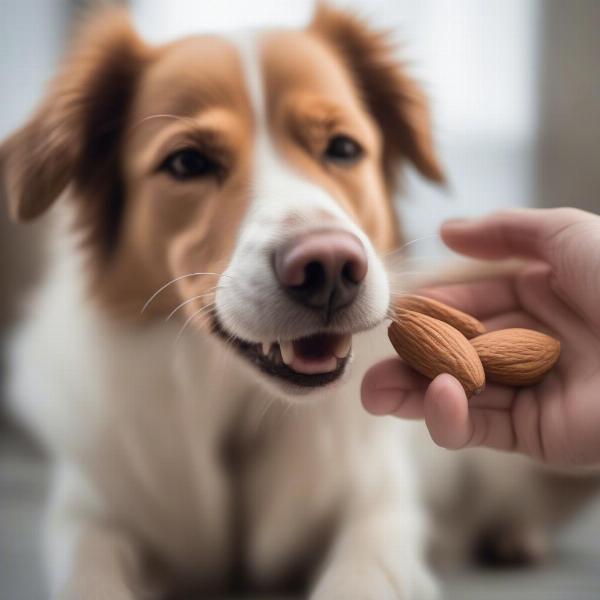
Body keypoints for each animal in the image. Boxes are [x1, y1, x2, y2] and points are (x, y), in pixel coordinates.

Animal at [0, 4, 592, 600]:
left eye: (344, 148)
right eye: (187, 162)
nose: (328, 269)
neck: (238, 409)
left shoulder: (381, 509)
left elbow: (364, 574)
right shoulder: (91, 515)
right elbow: (90, 573)